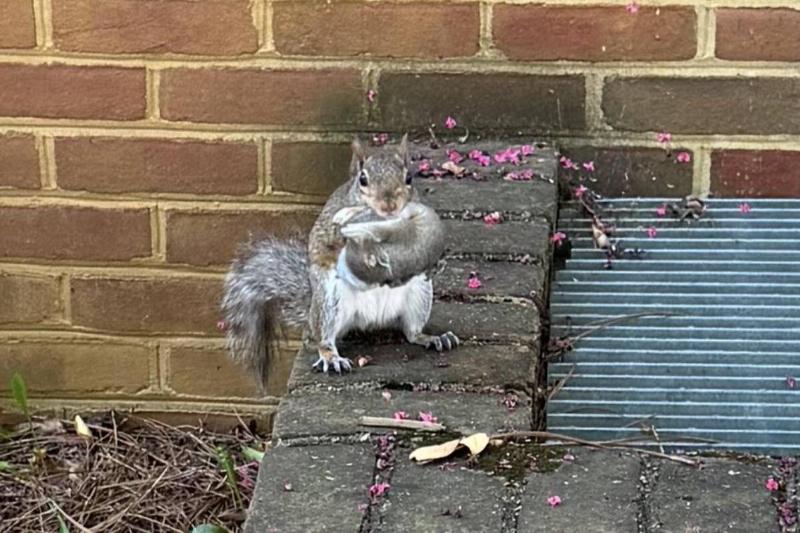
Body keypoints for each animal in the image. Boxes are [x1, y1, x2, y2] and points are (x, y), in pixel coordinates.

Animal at [221, 135, 458, 389]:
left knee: (412, 332)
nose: (389, 206)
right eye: (363, 179)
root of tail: (369, 321)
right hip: (328, 299)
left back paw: (433, 338)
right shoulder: (332, 226)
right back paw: (331, 357)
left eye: (409, 178)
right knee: (322, 338)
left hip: (420, 293)